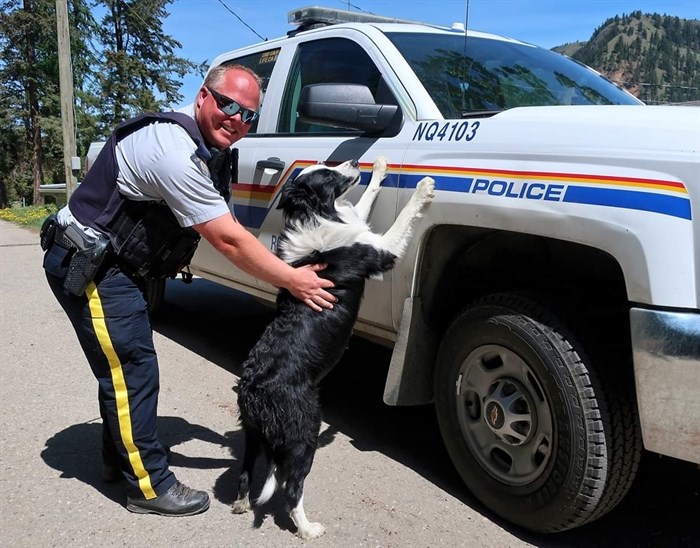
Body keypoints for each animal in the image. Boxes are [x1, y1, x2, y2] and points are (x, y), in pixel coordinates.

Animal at [232, 156, 434, 536]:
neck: (316, 214)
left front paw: (380, 169)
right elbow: (401, 219)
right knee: (291, 486)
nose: (356, 161)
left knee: (247, 471)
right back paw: (308, 528)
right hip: (304, 431)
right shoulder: (380, 251)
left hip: (252, 434)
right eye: (326, 174)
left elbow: (364, 201)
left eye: (327, 163)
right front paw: (424, 188)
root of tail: (254, 390)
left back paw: (240, 503)